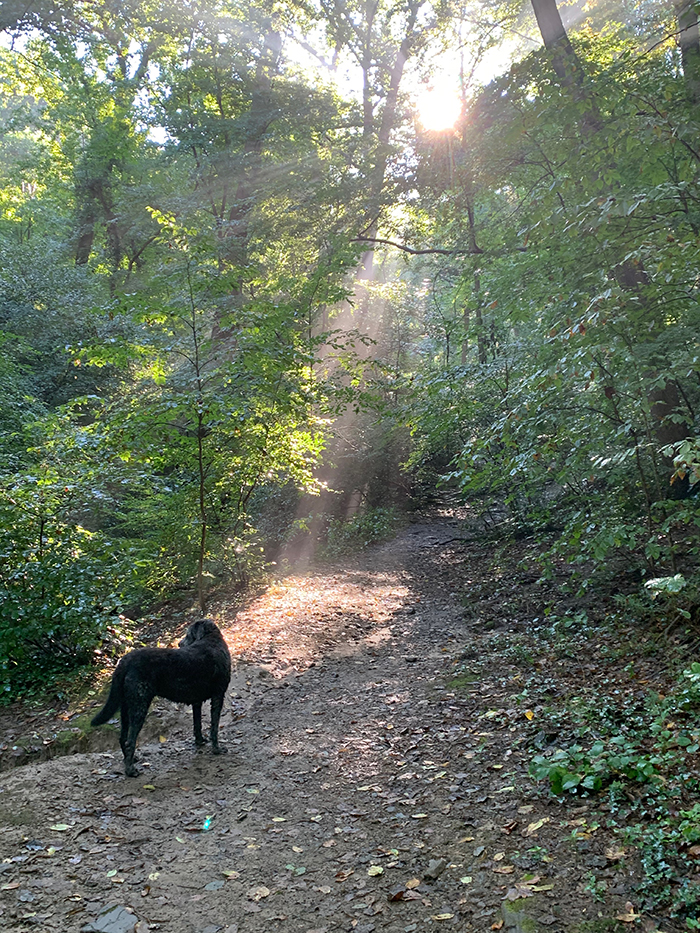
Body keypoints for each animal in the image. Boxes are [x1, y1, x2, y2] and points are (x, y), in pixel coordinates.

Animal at [90, 616, 231, 776]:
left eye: (188, 634)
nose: (179, 644)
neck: (211, 638)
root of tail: (125, 661)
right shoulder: (218, 696)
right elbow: (214, 727)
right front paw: (217, 749)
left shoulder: (197, 702)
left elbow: (197, 725)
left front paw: (200, 742)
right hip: (139, 707)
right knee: (130, 741)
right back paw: (131, 770)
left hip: (126, 708)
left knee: (122, 738)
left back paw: (130, 760)